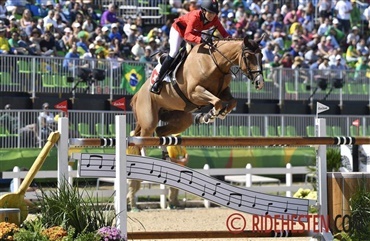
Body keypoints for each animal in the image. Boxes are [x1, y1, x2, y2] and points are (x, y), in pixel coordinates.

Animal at [132, 34, 264, 138]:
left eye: (261, 56)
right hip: (149, 121)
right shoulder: (194, 93)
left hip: (180, 118)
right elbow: (217, 102)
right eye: (248, 57)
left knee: (160, 131)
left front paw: (219, 114)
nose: (260, 82)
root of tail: (138, 94)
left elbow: (232, 102)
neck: (214, 63)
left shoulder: (222, 91)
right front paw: (209, 116)